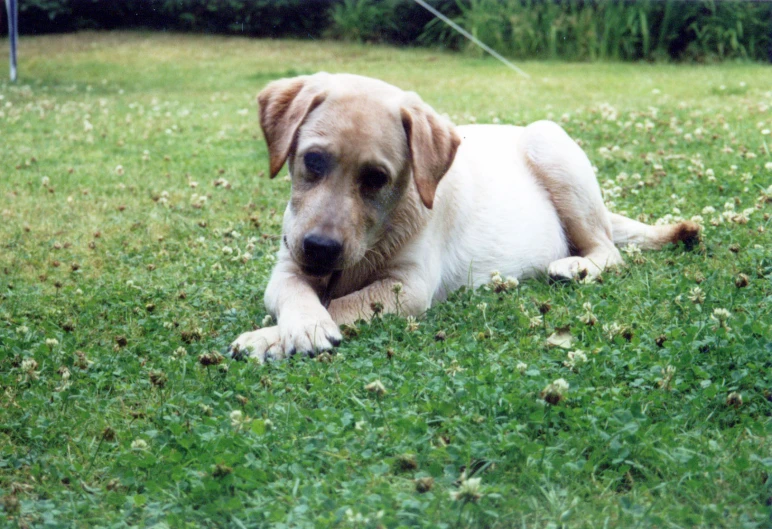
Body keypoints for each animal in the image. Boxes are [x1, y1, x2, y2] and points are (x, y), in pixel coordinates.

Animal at [225, 72, 700, 360]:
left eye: (377, 178)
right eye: (313, 160)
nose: (320, 249)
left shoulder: (408, 287)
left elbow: (342, 303)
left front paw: (269, 338)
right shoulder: (288, 262)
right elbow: (298, 294)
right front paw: (301, 324)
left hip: (549, 143)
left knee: (607, 250)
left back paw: (574, 265)